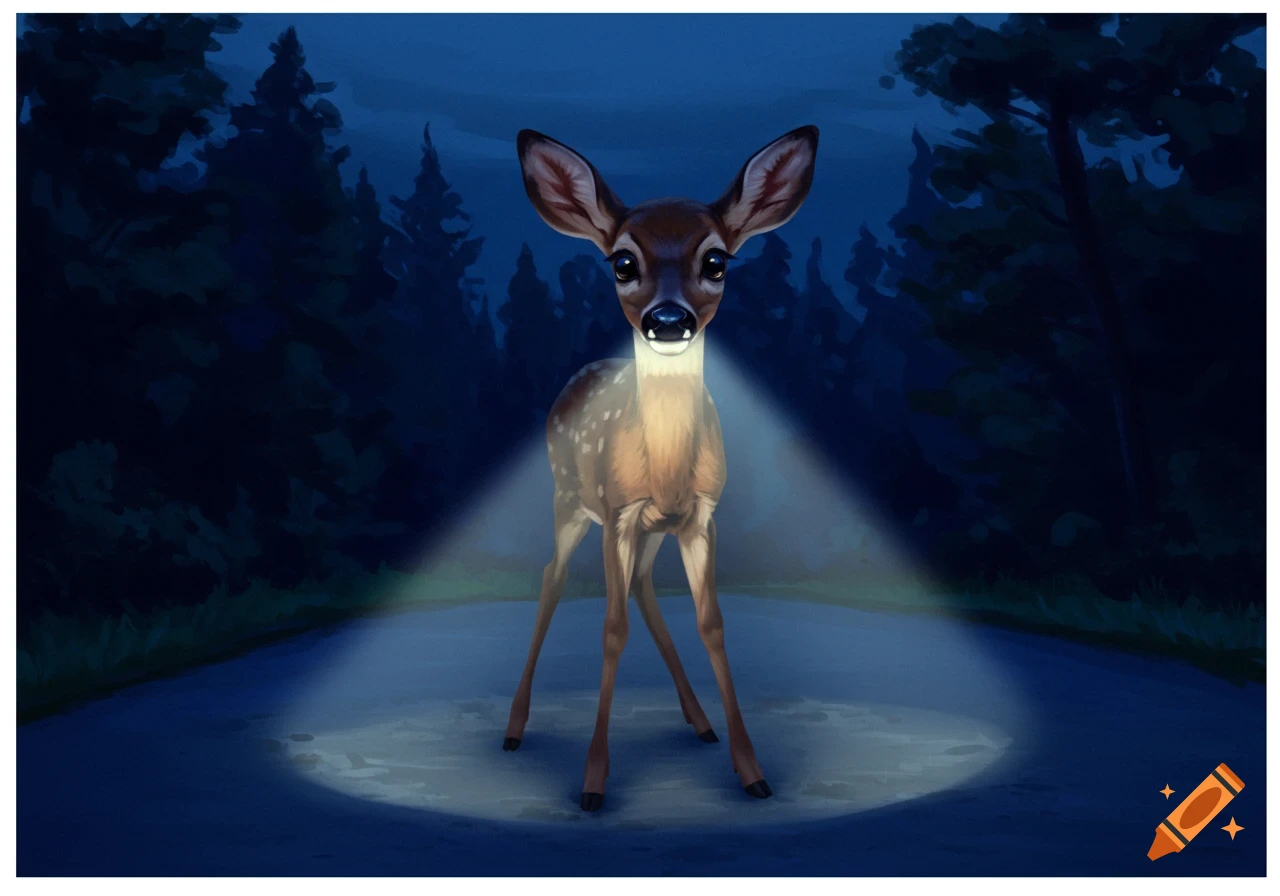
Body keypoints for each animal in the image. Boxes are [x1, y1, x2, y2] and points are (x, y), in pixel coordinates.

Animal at [502, 125, 819, 813]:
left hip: (648, 530)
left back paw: (699, 722)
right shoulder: (617, 512)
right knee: (551, 577)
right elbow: (610, 628)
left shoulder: (700, 517)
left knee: (644, 588)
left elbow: (712, 624)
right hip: (569, 498)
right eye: (623, 262)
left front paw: (752, 772)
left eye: (716, 261)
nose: (668, 320)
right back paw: (513, 729)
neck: (667, 471)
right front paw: (593, 784)